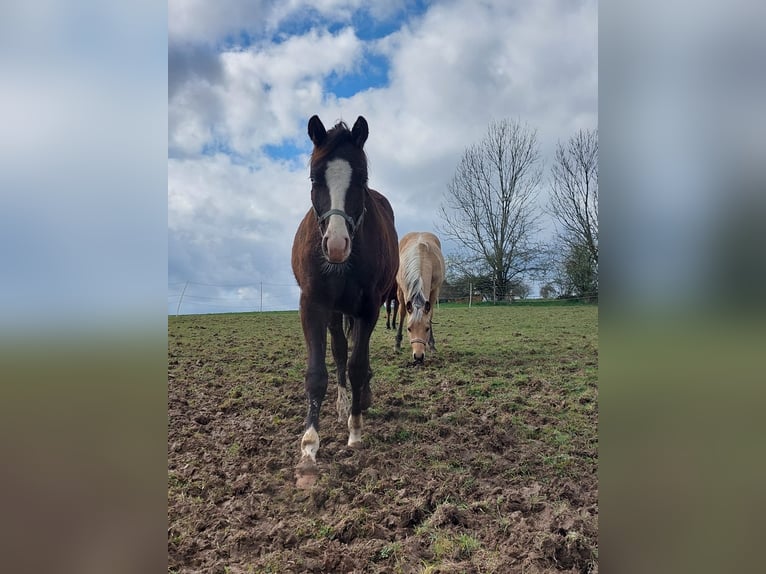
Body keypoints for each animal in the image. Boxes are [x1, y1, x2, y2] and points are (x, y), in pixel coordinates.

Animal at [292, 115, 402, 488]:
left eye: (362, 179)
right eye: (315, 177)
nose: (337, 244)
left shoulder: (368, 309)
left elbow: (357, 364)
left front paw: (355, 431)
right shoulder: (313, 306)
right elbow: (318, 372)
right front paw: (309, 450)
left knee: (354, 356)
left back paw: (360, 400)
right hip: (334, 312)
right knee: (340, 351)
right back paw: (342, 406)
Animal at [400, 233, 448, 364]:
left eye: (426, 329)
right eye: (409, 329)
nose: (418, 357)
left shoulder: (434, 291)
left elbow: (430, 315)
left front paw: (432, 346)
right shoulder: (405, 291)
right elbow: (403, 313)